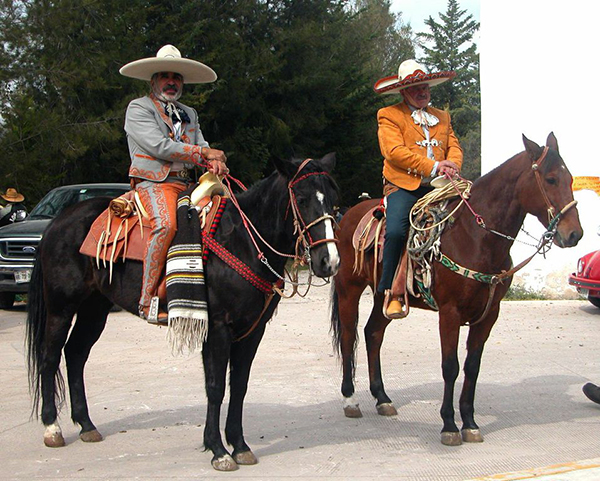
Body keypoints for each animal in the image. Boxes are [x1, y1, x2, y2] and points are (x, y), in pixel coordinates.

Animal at [28, 156, 340, 470]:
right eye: (301, 198)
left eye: (333, 200)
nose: (329, 261)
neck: (243, 242)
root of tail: (56, 222)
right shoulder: (217, 329)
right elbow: (215, 387)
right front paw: (218, 450)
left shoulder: (252, 330)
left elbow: (239, 386)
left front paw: (239, 445)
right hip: (61, 308)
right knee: (49, 357)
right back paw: (52, 428)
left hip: (94, 310)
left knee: (75, 354)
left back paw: (86, 425)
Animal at [330, 133, 584, 444]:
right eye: (550, 179)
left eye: (570, 179)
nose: (574, 234)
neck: (475, 237)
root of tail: (348, 216)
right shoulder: (449, 314)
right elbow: (450, 367)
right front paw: (449, 425)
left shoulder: (488, 315)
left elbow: (472, 367)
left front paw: (470, 423)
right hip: (349, 289)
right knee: (348, 337)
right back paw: (350, 400)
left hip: (385, 296)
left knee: (373, 333)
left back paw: (382, 398)